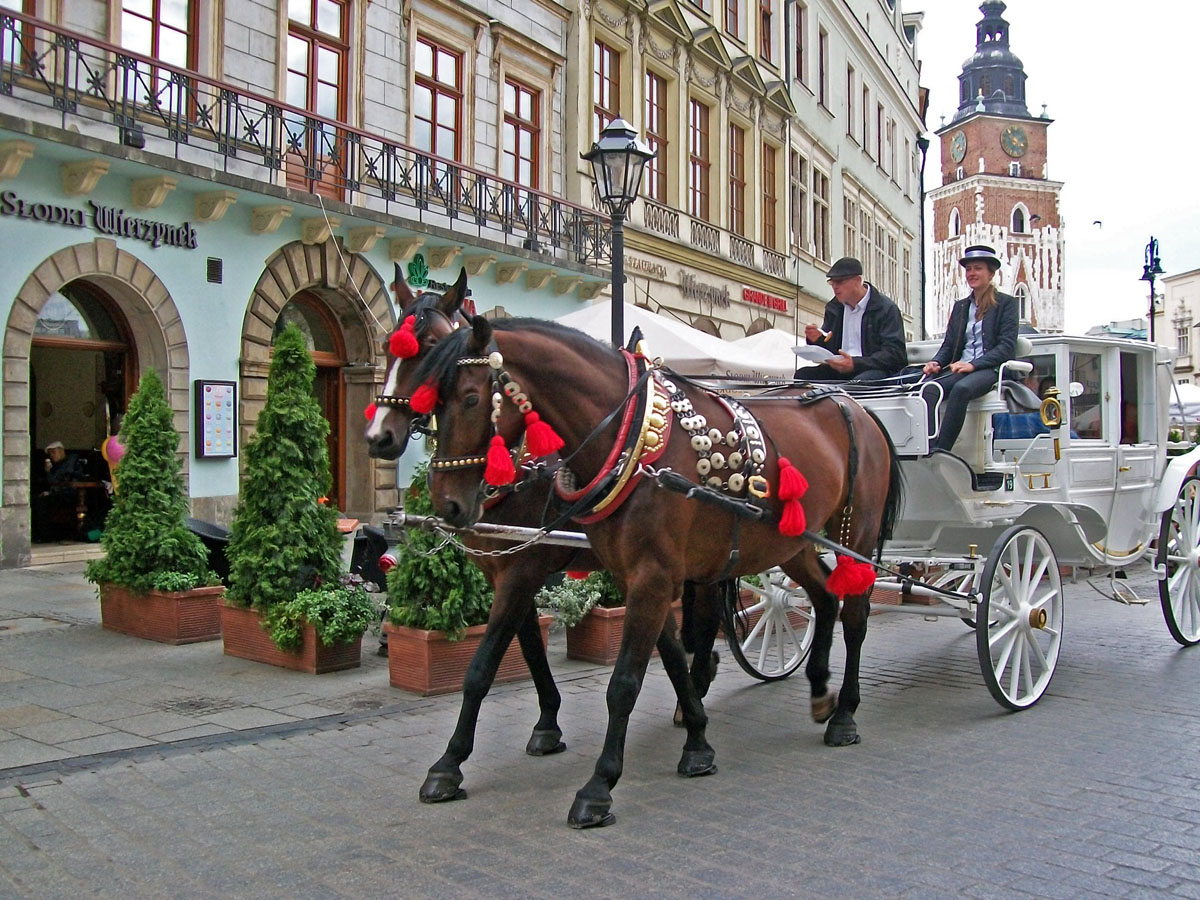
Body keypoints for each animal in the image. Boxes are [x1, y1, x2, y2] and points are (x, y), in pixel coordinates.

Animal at [364, 268, 722, 804]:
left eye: (429, 347)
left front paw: (449, 763)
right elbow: (531, 647)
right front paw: (548, 724)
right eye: (389, 346)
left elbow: (483, 665)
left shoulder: (525, 569)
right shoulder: (509, 571)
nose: (379, 437)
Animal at [415, 313, 903, 827]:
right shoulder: (634, 574)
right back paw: (820, 692)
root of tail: (856, 407)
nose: (447, 503)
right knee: (824, 597)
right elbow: (666, 654)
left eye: (471, 398)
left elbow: (623, 683)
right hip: (791, 540)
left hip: (856, 533)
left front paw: (599, 786)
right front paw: (696, 742)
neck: (633, 437)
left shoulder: (639, 575)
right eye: (434, 400)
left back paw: (845, 713)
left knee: (854, 615)